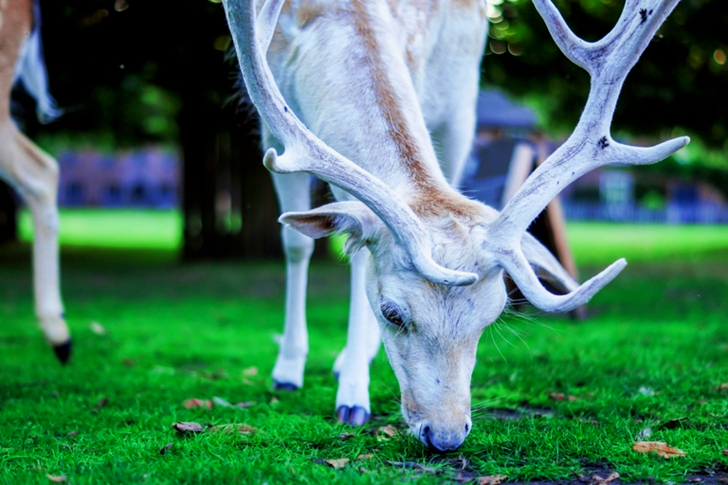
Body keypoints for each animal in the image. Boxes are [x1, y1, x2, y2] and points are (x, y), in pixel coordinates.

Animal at [223, 0, 687, 451]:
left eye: (492, 315)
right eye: (391, 313)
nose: (446, 436)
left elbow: (356, 258)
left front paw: (353, 392)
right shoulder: (272, 130)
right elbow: (297, 244)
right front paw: (291, 372)